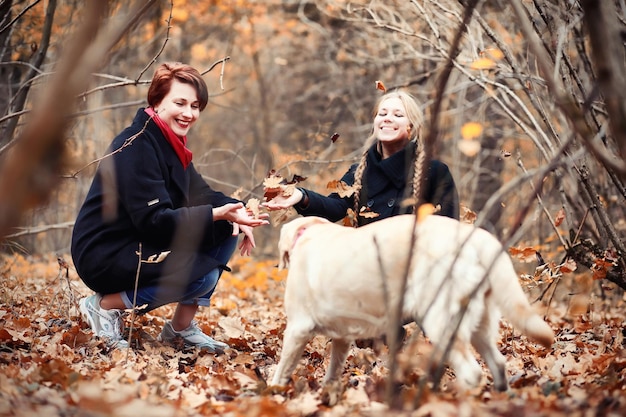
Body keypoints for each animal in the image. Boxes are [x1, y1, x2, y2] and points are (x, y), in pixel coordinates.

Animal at [270, 213, 552, 392]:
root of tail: (476, 237)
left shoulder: (297, 328)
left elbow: (283, 367)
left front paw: (273, 390)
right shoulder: (342, 336)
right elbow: (333, 368)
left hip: (440, 318)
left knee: (472, 373)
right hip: (480, 322)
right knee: (498, 364)